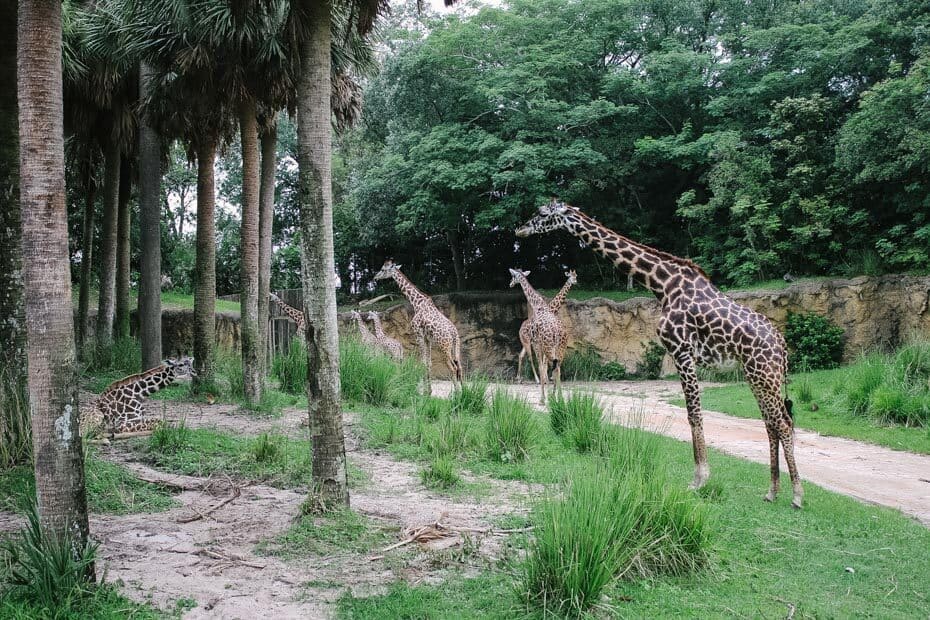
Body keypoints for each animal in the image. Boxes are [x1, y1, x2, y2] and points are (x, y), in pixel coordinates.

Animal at [372, 260, 462, 394]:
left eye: (383, 269)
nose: (375, 277)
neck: (417, 303)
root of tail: (454, 334)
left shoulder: (418, 334)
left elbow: (423, 363)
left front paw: (425, 392)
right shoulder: (427, 338)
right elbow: (428, 363)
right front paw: (429, 391)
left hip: (444, 346)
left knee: (453, 367)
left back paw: (457, 394)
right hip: (456, 347)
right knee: (459, 366)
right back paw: (465, 391)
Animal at [508, 268, 564, 404]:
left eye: (513, 276)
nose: (510, 284)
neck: (538, 305)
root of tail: (556, 332)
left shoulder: (536, 343)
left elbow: (541, 366)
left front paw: (543, 397)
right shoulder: (539, 345)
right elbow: (544, 367)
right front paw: (549, 394)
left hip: (546, 347)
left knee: (549, 365)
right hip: (559, 348)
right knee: (557, 367)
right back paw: (559, 397)